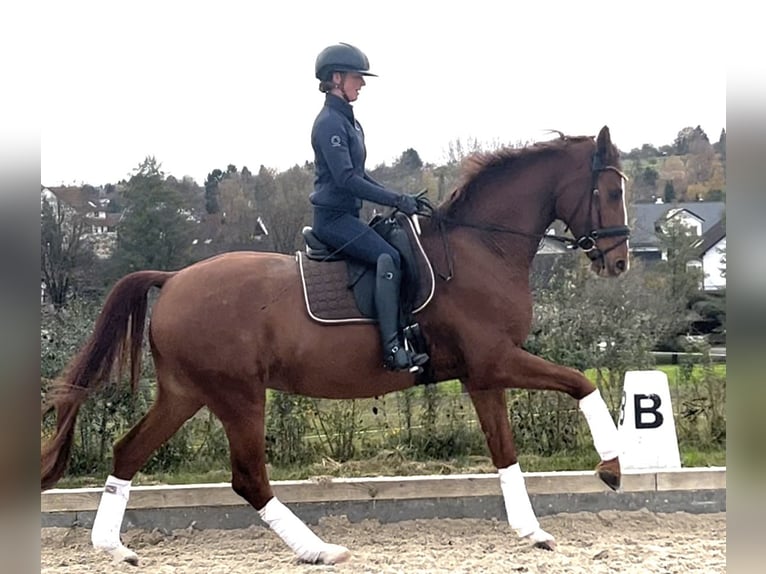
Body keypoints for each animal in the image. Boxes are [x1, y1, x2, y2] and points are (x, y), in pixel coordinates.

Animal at [41, 125, 630, 566]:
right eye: (610, 191)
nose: (620, 262)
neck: (480, 247)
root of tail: (175, 278)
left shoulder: (482, 374)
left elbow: (505, 452)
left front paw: (532, 532)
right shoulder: (498, 361)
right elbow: (582, 384)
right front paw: (612, 466)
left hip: (186, 392)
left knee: (129, 451)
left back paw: (113, 546)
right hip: (238, 395)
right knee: (249, 477)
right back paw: (319, 549)